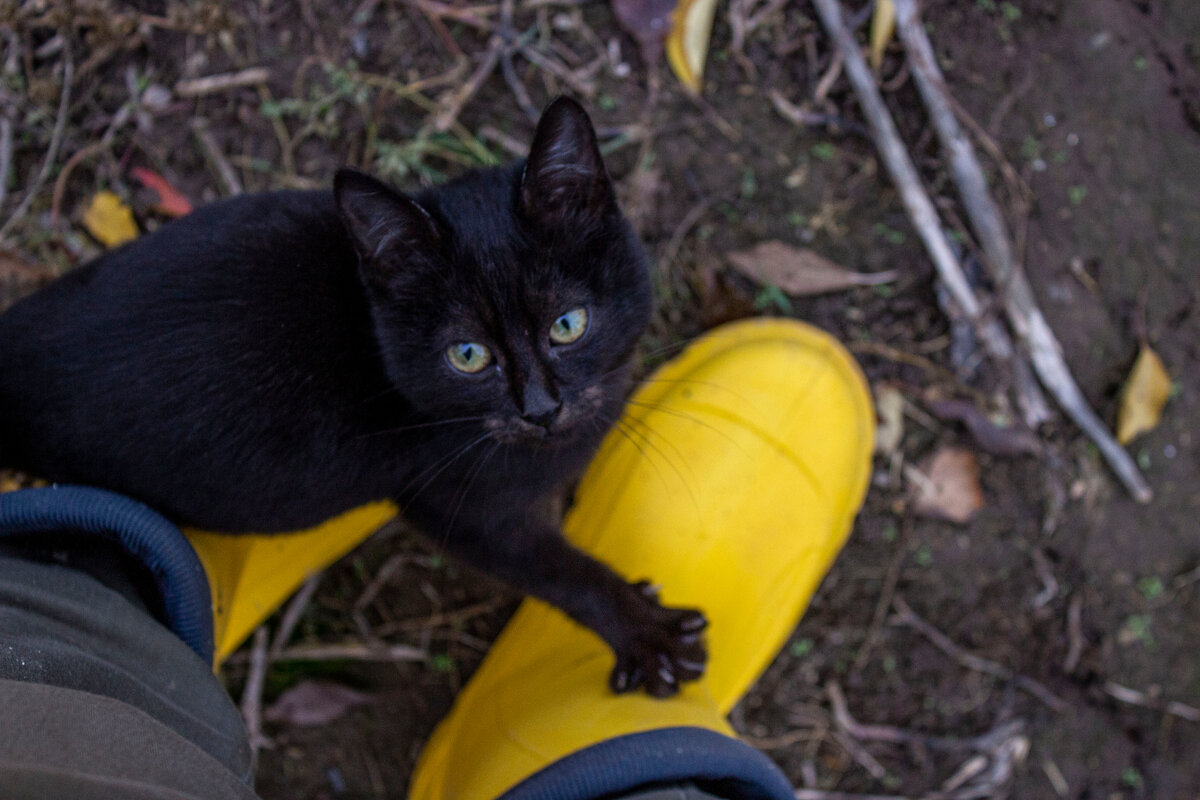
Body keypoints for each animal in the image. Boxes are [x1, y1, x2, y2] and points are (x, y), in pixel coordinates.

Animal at [0, 97, 700, 695]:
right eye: (468, 356)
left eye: (568, 324)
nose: (541, 409)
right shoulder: (455, 502)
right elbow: (555, 570)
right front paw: (648, 635)